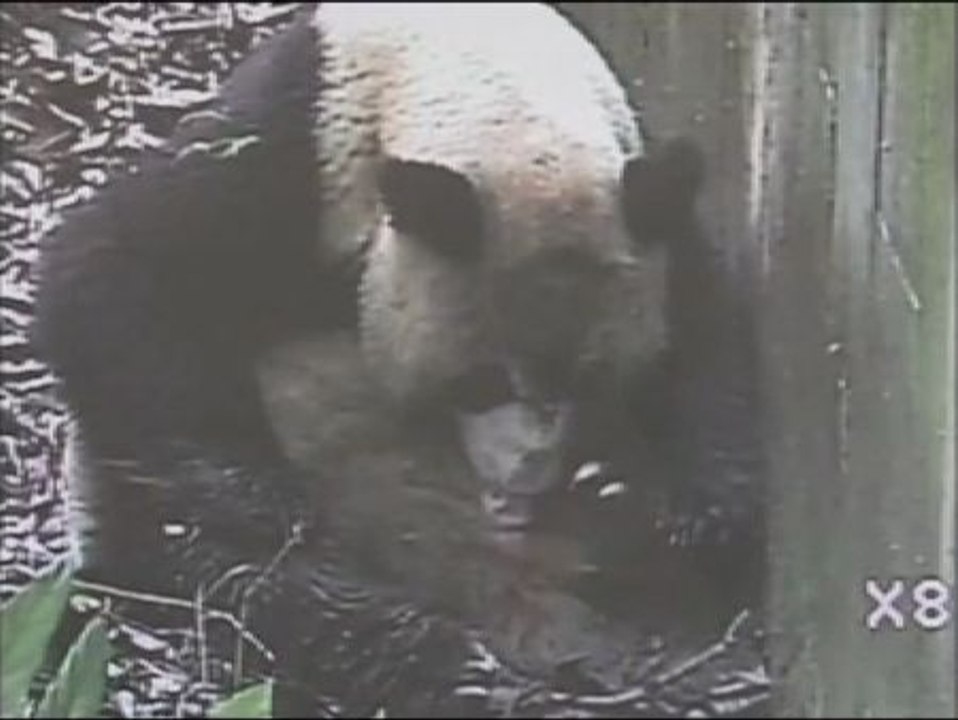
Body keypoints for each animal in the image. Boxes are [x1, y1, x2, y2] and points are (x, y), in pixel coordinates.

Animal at [32, 3, 732, 706]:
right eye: (481, 383)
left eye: (590, 382)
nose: (528, 472)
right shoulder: (296, 152)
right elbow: (111, 271)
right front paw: (259, 489)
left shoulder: (646, 201)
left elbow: (704, 343)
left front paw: (683, 510)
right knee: (292, 589)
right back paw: (459, 664)